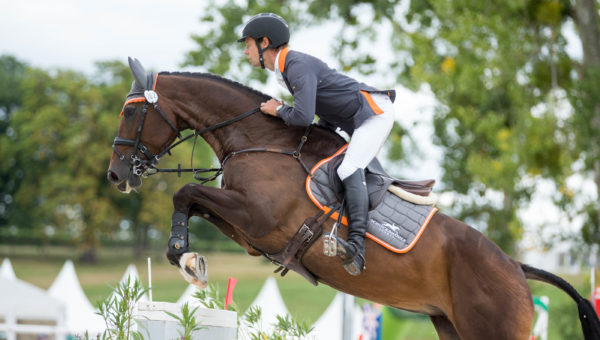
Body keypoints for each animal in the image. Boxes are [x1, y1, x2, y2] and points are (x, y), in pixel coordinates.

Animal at [106, 59, 600, 338]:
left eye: (130, 111)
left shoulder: (257, 218)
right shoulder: (250, 232)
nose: (115, 175)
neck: (260, 141)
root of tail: (516, 268)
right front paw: (188, 258)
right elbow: (191, 200)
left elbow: (185, 191)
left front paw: (185, 258)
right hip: (450, 325)